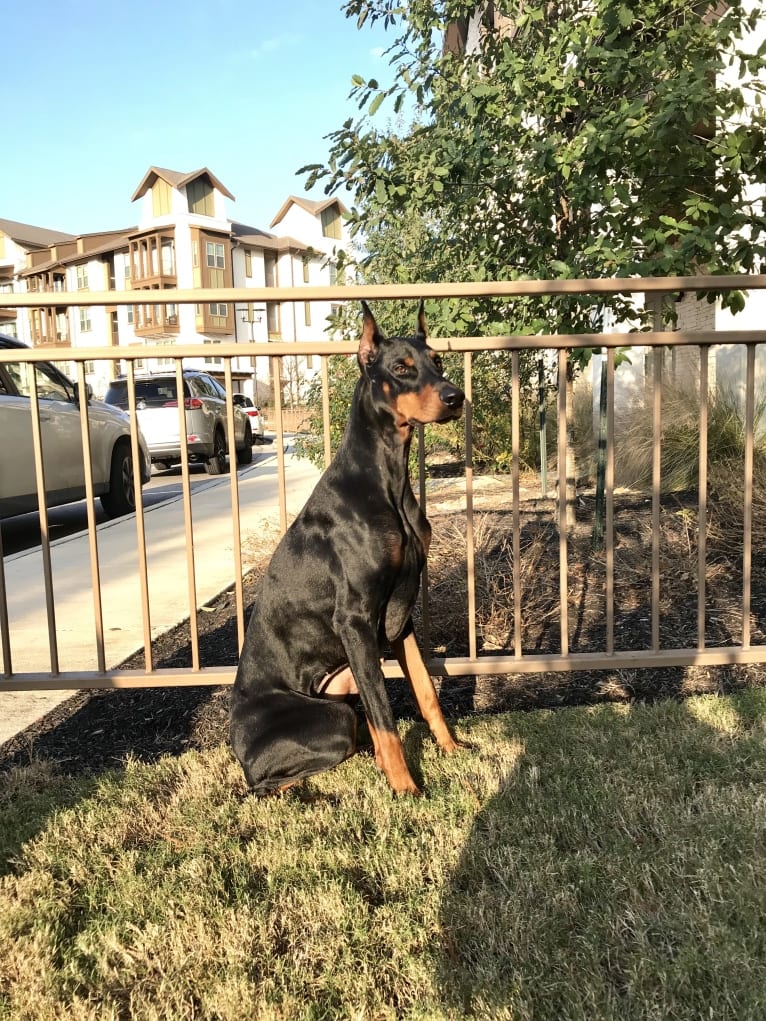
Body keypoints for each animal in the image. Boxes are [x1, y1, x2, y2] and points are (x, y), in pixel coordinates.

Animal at [230, 302, 465, 796]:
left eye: (438, 361)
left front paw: (452, 751)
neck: (388, 477)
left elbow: (426, 691)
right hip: (335, 717)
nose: (455, 397)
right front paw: (407, 789)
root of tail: (238, 748)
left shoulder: (399, 617)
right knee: (266, 785)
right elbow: (385, 717)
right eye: (402, 368)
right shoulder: (354, 619)